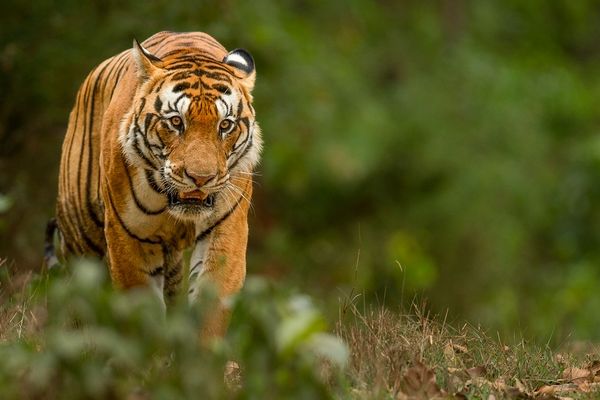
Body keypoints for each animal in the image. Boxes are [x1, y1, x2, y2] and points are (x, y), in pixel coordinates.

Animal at [45, 32, 262, 338]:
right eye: (176, 122)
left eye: (225, 125)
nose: (201, 178)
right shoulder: (128, 234)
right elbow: (141, 310)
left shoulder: (225, 230)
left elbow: (209, 305)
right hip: (80, 233)